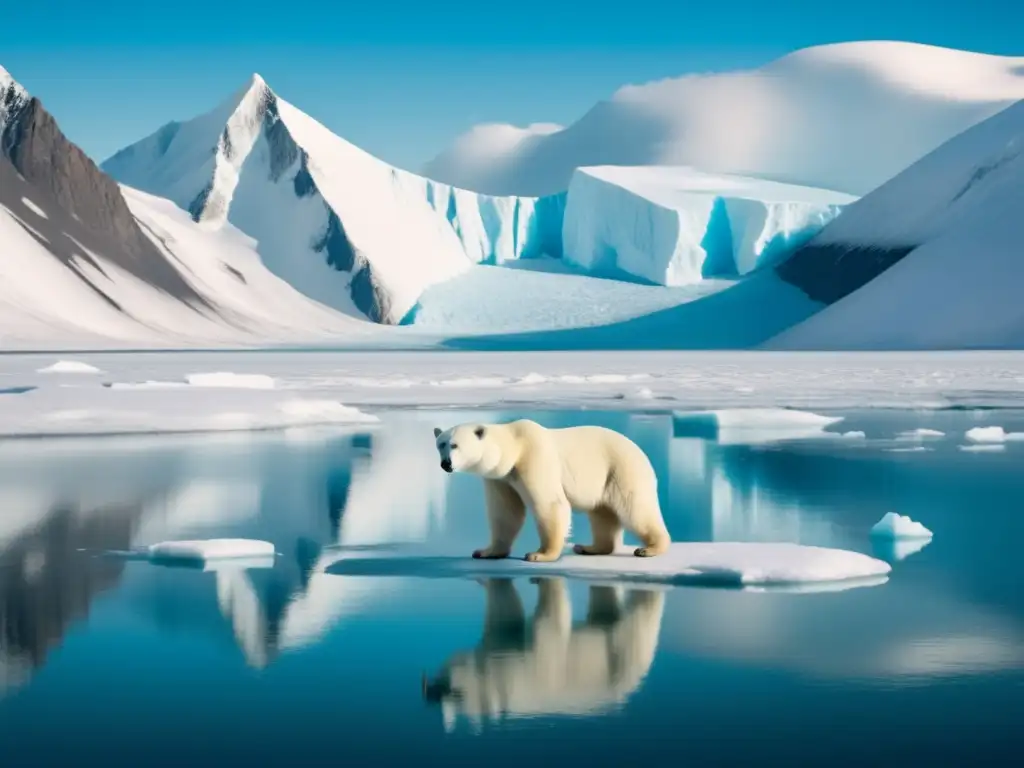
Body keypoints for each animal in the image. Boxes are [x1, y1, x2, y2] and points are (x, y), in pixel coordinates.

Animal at [432, 421, 671, 565]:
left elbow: (549, 504)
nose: (445, 464)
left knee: (634, 509)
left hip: (621, 469)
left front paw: (540, 554)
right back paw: (589, 547)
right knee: (602, 513)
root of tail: (641, 452)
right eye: (441, 444)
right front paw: (486, 551)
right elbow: (505, 513)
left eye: (455, 445)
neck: (515, 447)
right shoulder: (501, 479)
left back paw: (649, 548)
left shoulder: (534, 459)